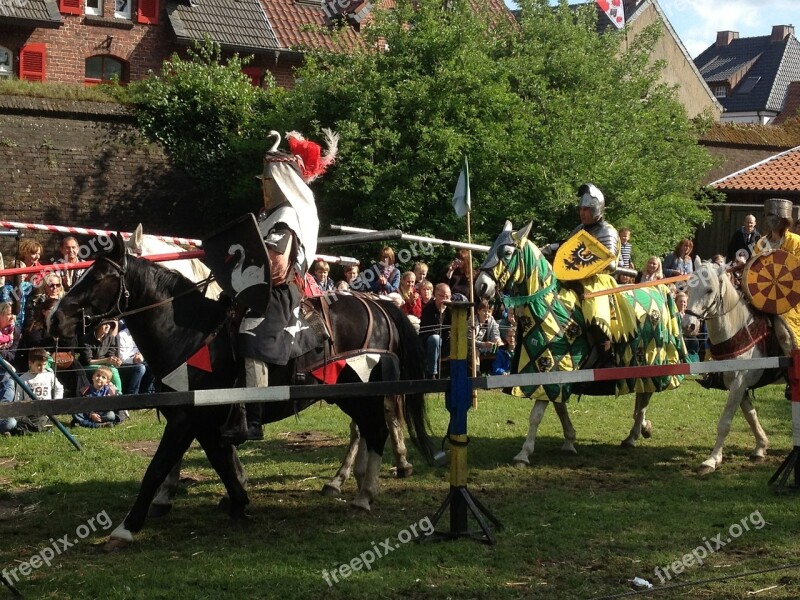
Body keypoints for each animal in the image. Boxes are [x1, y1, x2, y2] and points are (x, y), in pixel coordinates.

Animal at [49, 233, 434, 548]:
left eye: (98, 277)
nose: (55, 319)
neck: (188, 332)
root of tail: (380, 306)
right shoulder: (203, 423)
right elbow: (220, 461)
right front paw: (237, 501)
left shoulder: (186, 420)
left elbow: (157, 468)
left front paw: (127, 527)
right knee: (370, 430)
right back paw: (357, 483)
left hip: (359, 392)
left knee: (376, 429)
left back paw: (364, 492)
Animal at [680, 262, 780, 474]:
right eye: (689, 288)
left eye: (709, 290)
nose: (688, 326)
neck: (737, 330)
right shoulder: (736, 384)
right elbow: (751, 415)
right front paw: (760, 447)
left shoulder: (739, 383)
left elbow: (725, 423)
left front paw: (711, 460)